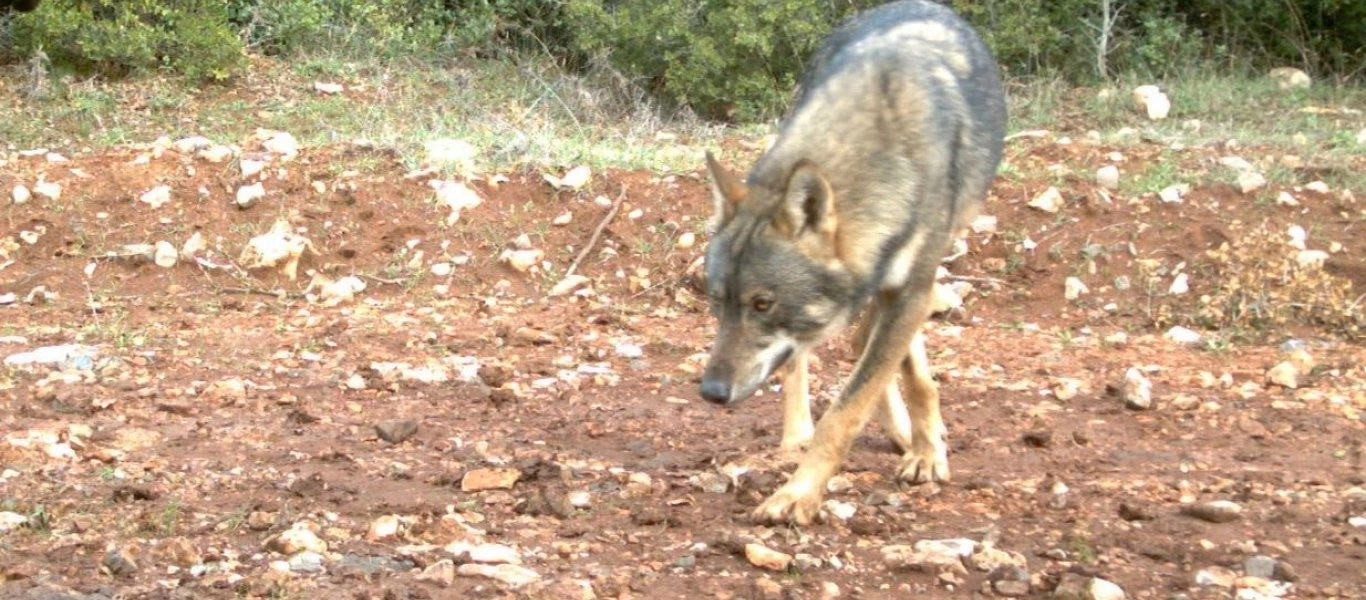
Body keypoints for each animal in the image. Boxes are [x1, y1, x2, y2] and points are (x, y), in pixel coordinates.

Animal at [699, 0, 1010, 524]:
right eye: (718, 301)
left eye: (762, 304)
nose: (711, 392)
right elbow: (862, 380)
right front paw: (803, 479)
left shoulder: (912, 288)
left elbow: (856, 403)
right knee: (808, 361)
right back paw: (800, 433)